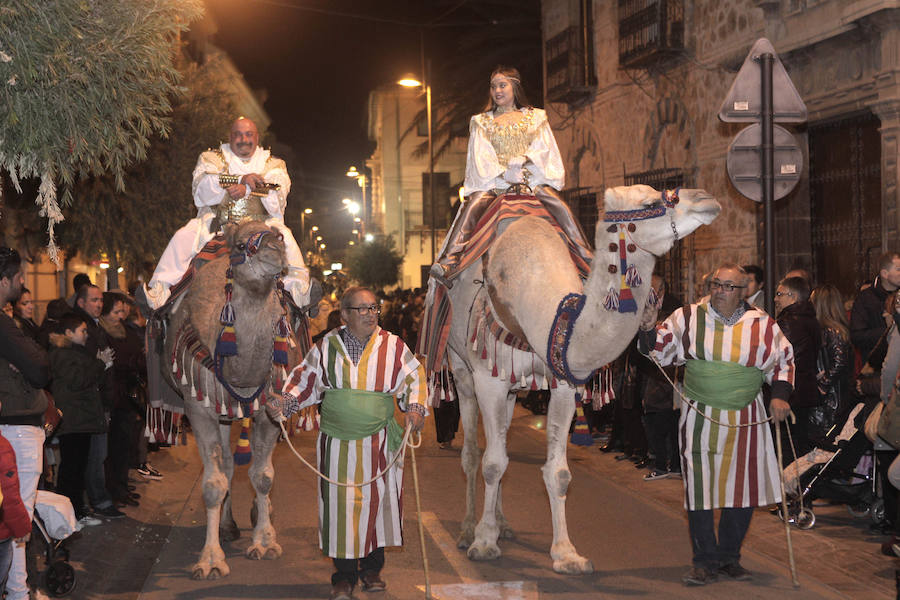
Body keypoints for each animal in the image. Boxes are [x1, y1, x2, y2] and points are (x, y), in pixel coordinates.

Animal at [162, 218, 298, 580]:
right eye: (241, 246)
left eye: (280, 236)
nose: (274, 252)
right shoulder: (199, 407)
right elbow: (213, 483)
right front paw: (210, 560)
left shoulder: (269, 407)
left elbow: (264, 476)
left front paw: (265, 542)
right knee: (225, 463)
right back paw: (227, 526)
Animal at [444, 183, 724, 572]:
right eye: (652, 201)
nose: (706, 199)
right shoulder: (489, 379)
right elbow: (491, 463)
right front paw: (484, 544)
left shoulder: (563, 382)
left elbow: (557, 472)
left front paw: (566, 554)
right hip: (461, 368)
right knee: (473, 452)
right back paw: (469, 529)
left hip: (513, 389)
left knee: (501, 445)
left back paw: (503, 524)